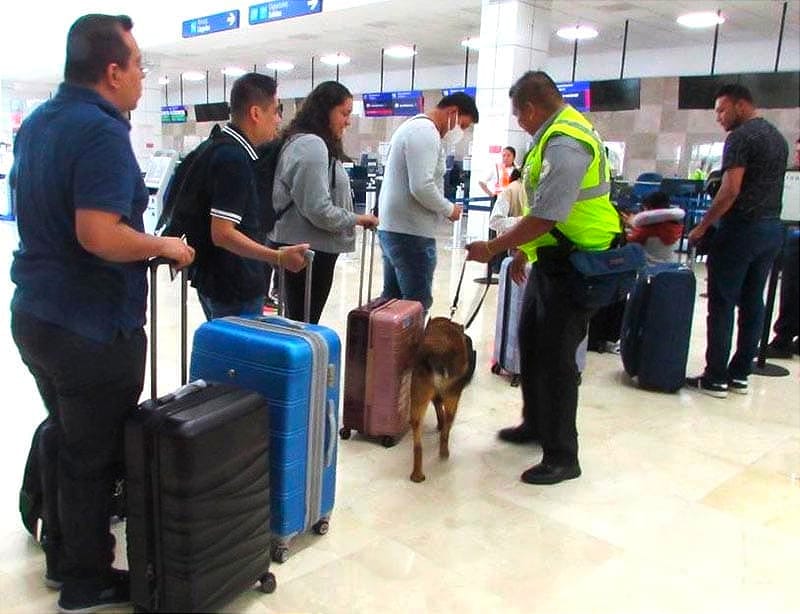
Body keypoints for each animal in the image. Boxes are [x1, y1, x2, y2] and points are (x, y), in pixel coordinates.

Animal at [410, 320, 472, 484]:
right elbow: (444, 421)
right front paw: (441, 427)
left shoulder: (435, 396)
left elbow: (438, 408)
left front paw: (439, 423)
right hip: (452, 396)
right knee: (447, 428)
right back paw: (444, 452)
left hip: (418, 396)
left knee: (417, 444)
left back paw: (417, 474)